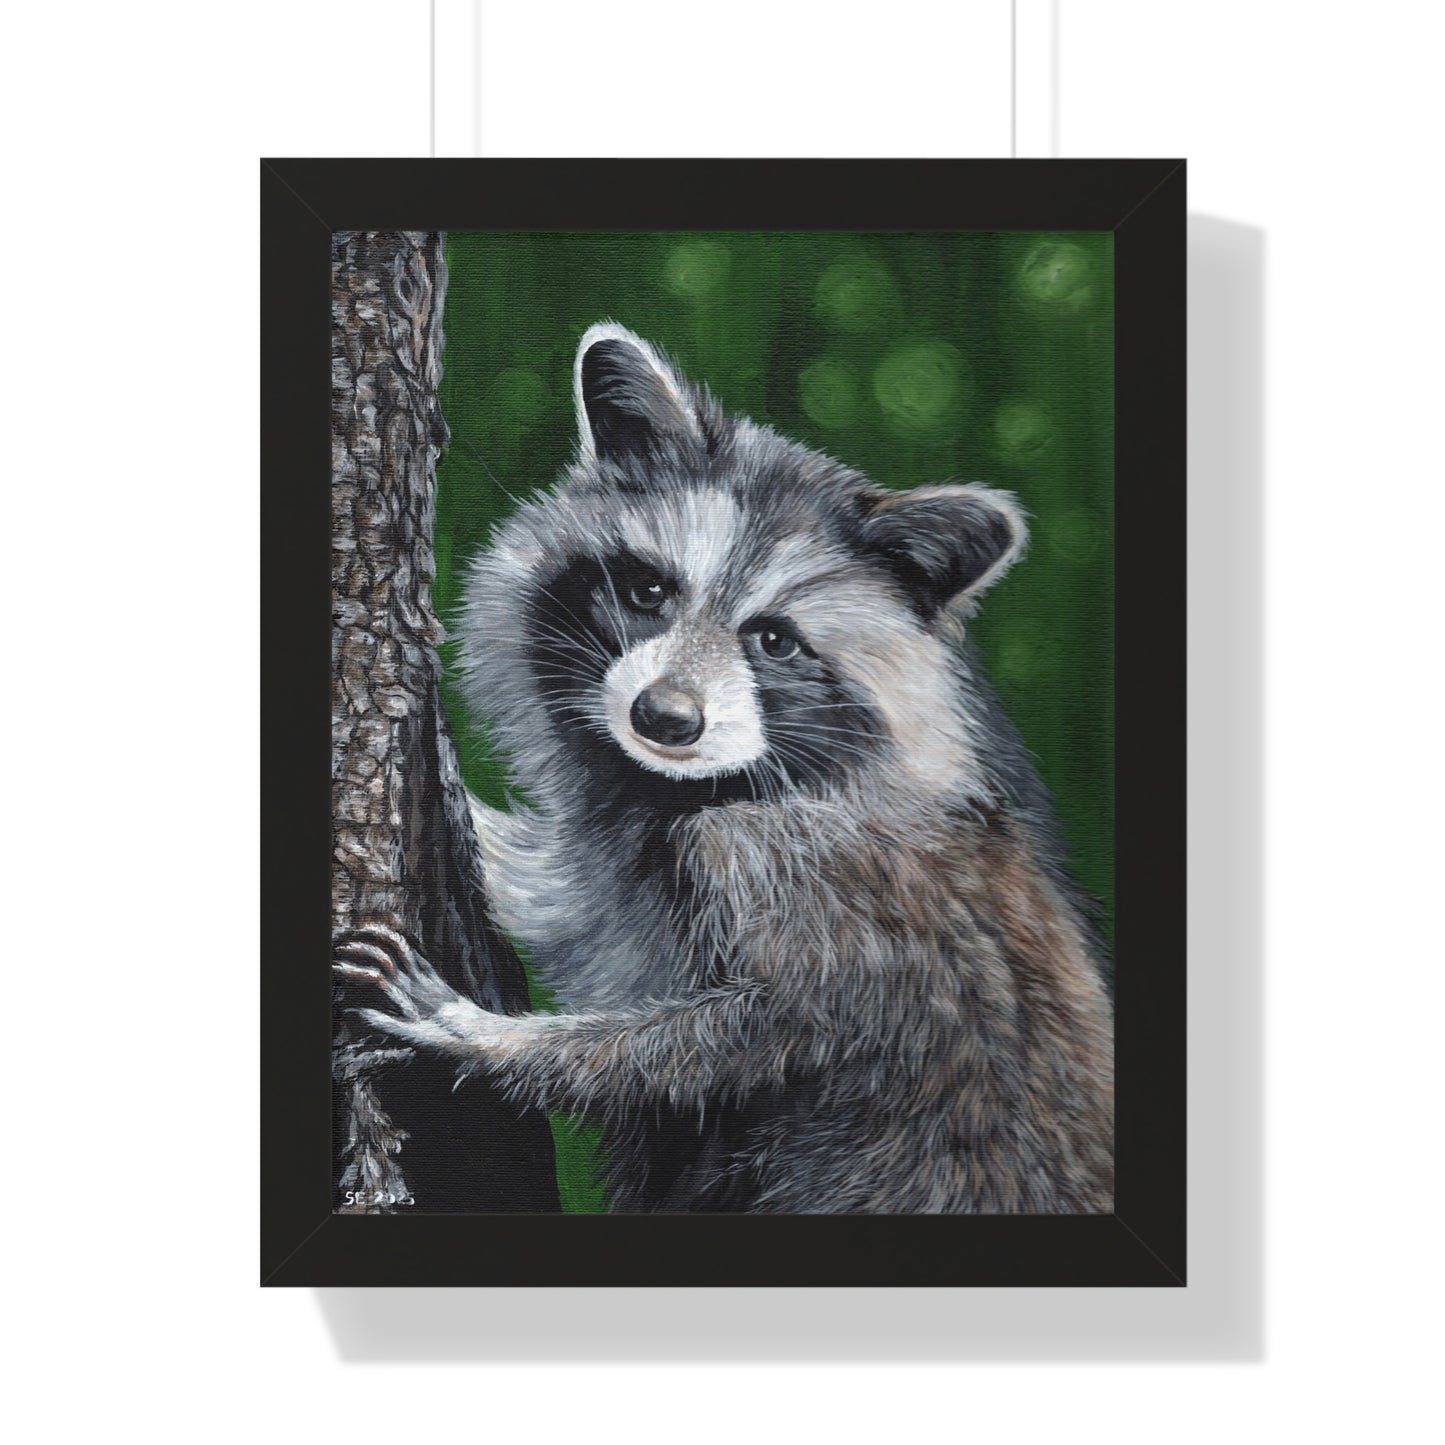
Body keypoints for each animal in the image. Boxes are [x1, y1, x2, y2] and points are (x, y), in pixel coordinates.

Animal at [336, 322, 1114, 1213]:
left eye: (773, 640)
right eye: (647, 590)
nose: (665, 718)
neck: (689, 786)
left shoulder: (814, 880)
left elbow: (741, 1036)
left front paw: (487, 1039)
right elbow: (567, 898)